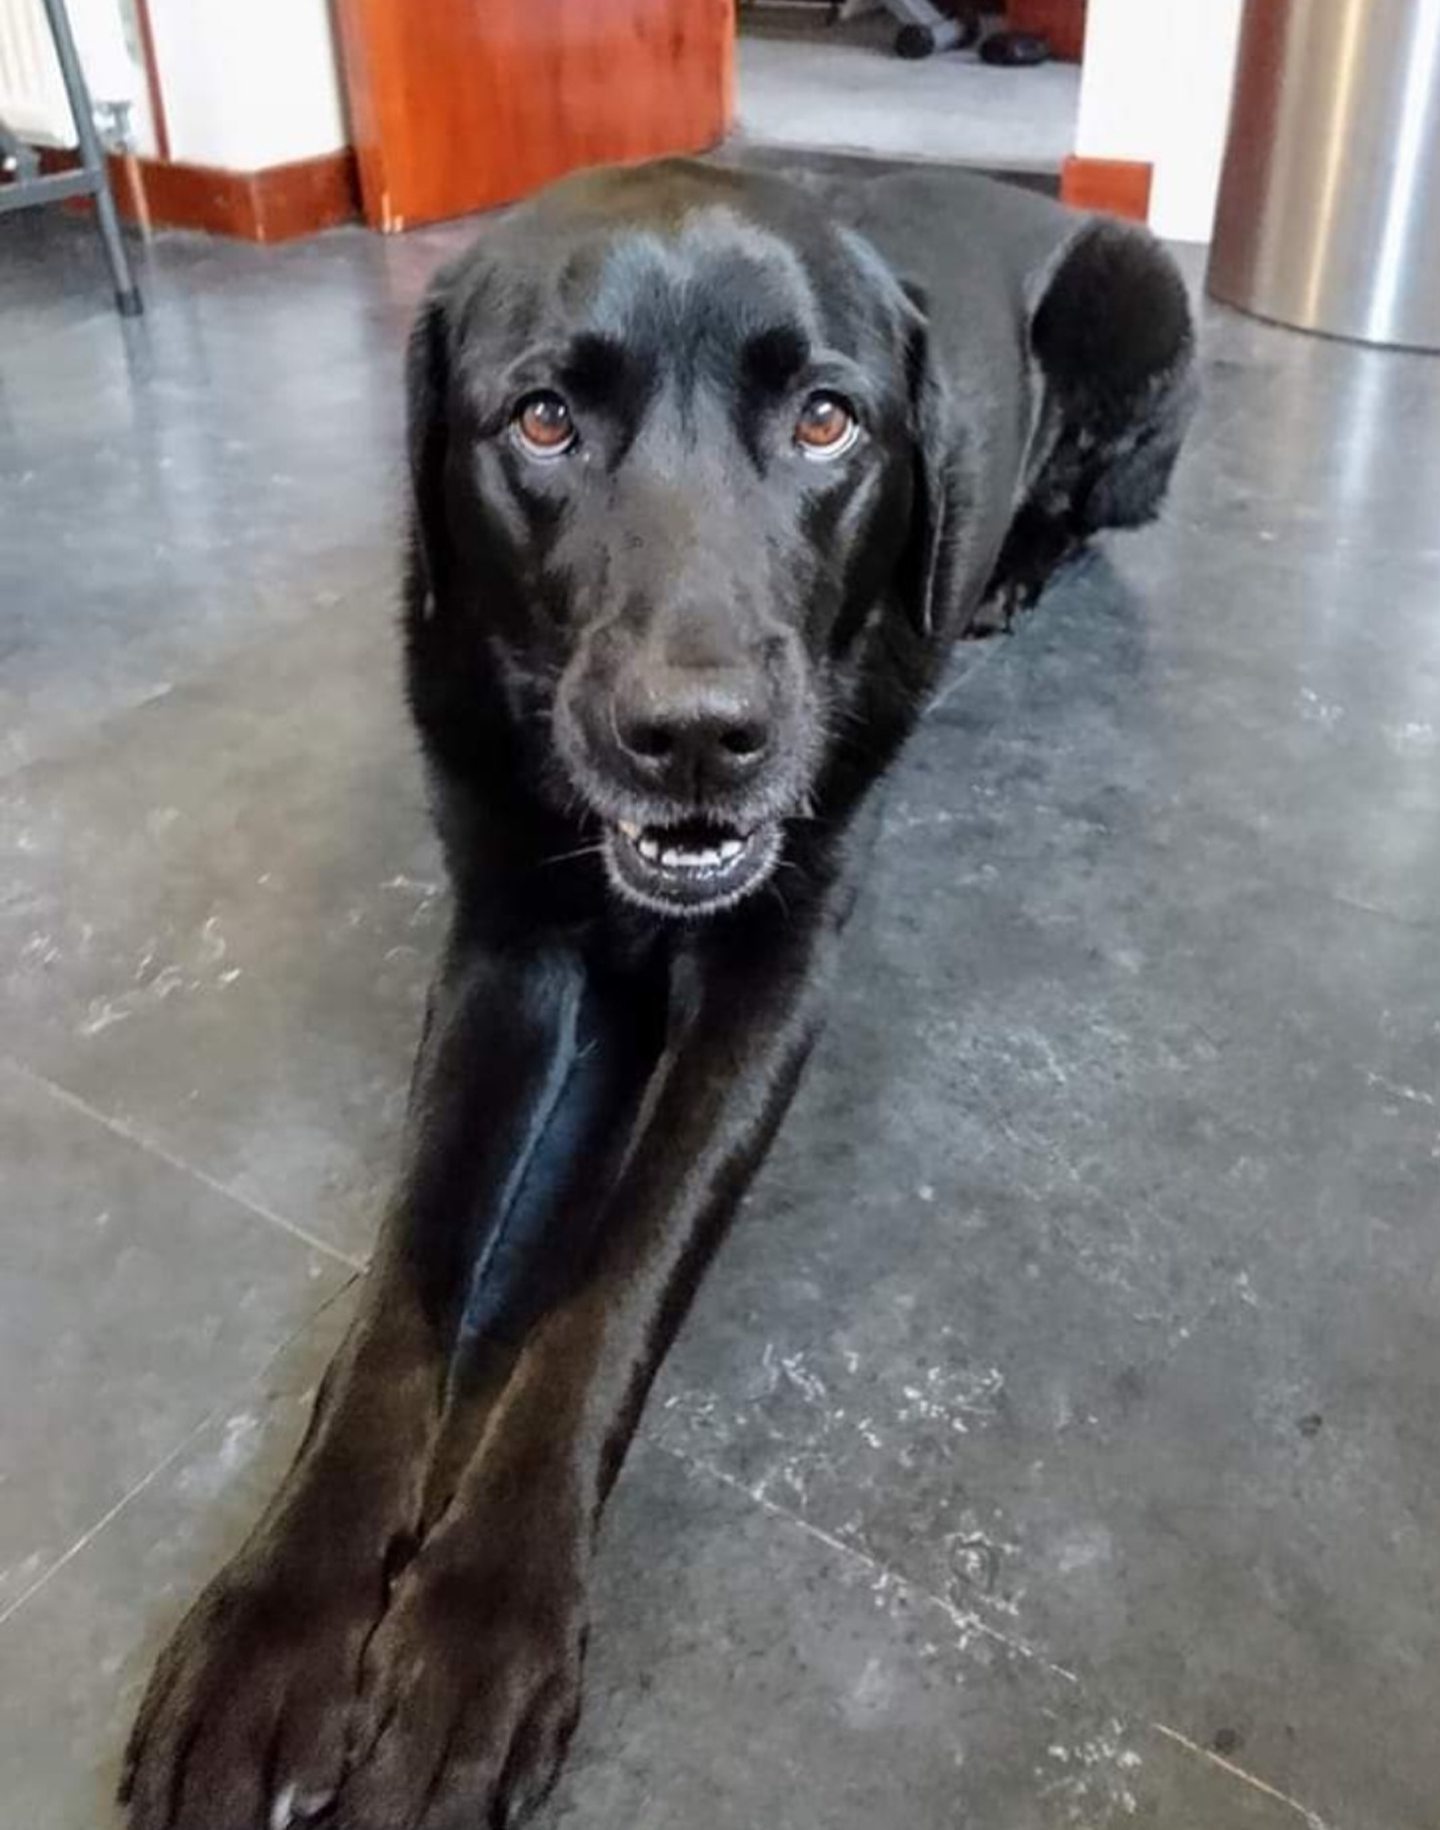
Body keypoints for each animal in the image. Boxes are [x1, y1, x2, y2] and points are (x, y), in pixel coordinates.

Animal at [120, 161, 1192, 1830]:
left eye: (826, 421)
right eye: (544, 420)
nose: (695, 735)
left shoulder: (774, 971)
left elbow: (612, 1284)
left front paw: (481, 1621)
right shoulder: (501, 947)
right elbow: (406, 1276)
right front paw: (281, 1621)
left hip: (1145, 307)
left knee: (1082, 512)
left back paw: (1016, 565)